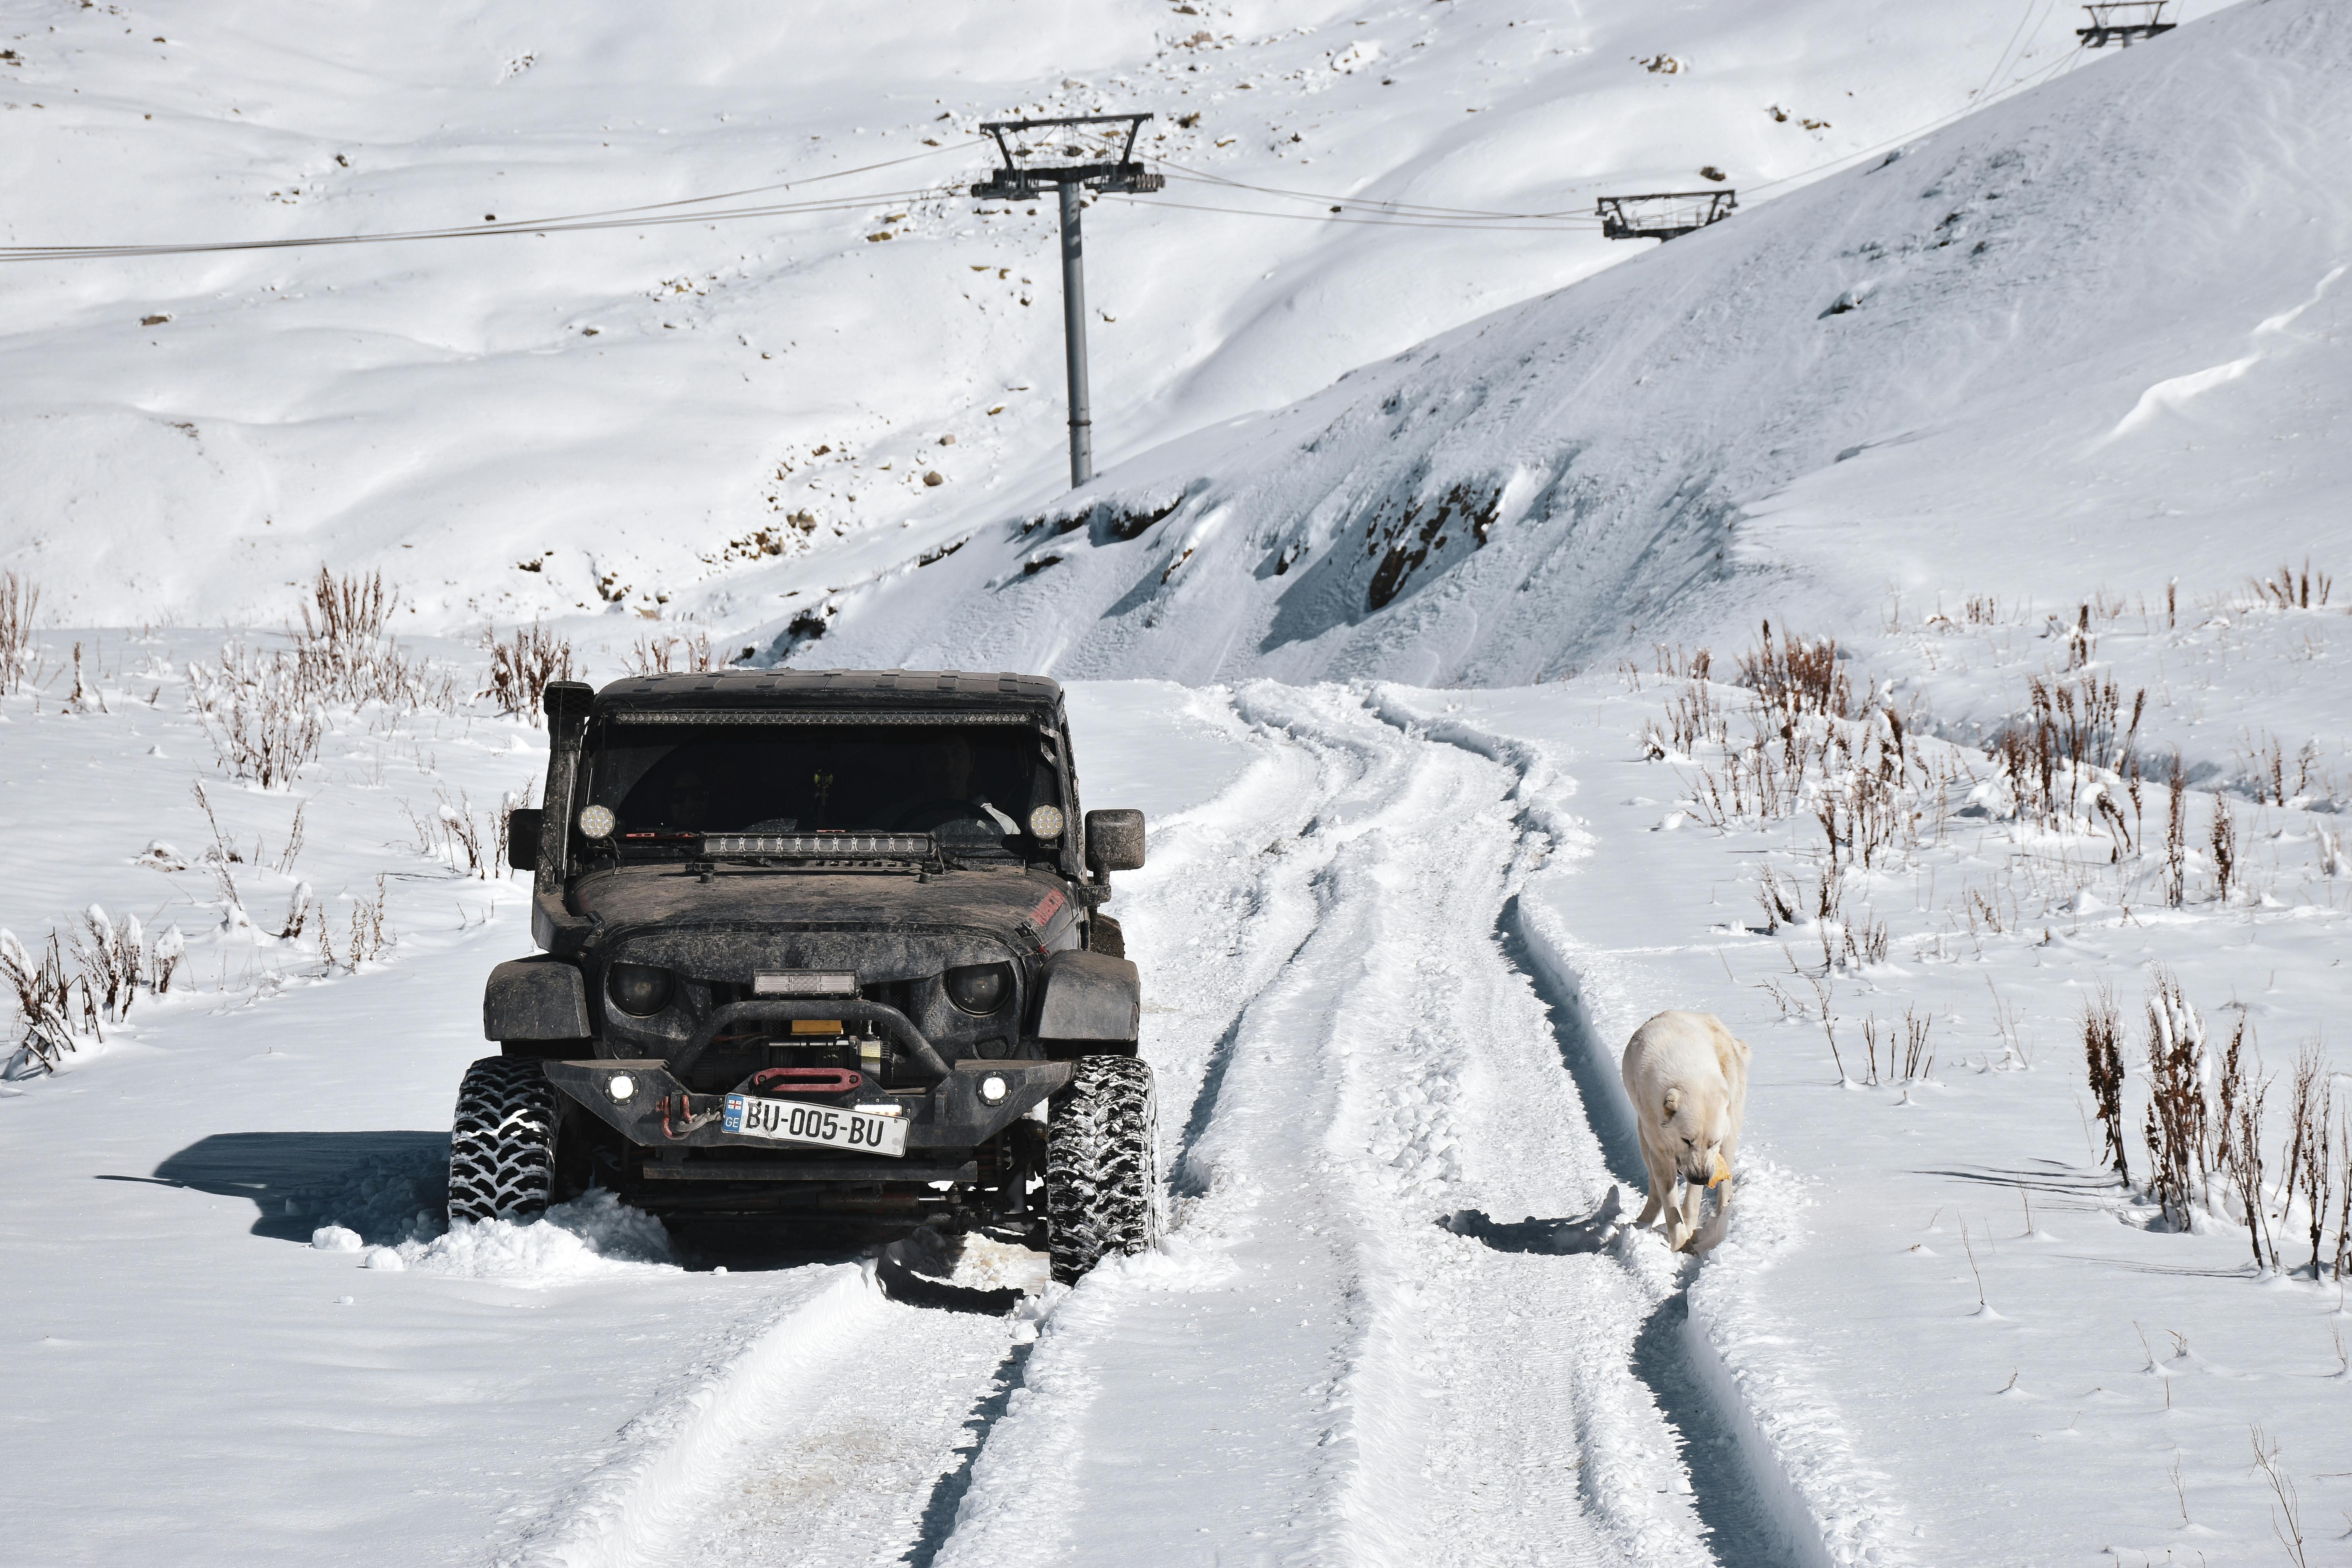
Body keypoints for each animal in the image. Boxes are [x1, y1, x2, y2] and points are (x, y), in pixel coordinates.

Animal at [1628, 1011, 1759, 1260]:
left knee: (1725, 1185)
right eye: (1686, 1140)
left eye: (1713, 1142)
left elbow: (1691, 1201)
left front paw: (1687, 1239)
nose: (1701, 1178)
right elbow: (1670, 1200)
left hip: (1731, 1123)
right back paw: (1642, 1222)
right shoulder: (1660, 1148)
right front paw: (1681, 1245)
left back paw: (1719, 1225)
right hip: (1643, 1134)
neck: (1689, 1078)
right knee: (1654, 1186)